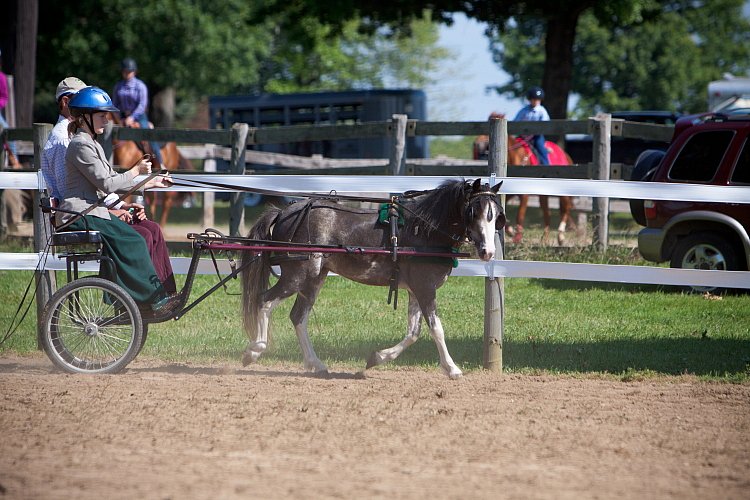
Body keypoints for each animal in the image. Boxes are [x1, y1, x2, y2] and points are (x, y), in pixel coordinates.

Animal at [244, 180, 508, 378]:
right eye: (473, 212)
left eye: (496, 216)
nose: (488, 252)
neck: (424, 230)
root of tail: (284, 212)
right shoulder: (425, 288)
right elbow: (436, 329)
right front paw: (452, 369)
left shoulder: (415, 289)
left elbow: (413, 333)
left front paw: (377, 358)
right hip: (296, 275)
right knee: (265, 301)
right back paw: (255, 350)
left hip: (314, 278)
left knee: (298, 317)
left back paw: (315, 364)